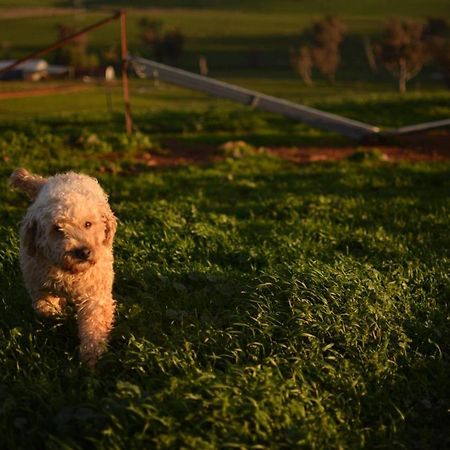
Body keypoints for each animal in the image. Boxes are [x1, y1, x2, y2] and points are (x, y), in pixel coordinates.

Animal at [10, 167, 117, 368]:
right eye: (57, 229)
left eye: (88, 224)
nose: (83, 252)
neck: (70, 272)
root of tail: (63, 175)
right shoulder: (38, 286)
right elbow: (46, 309)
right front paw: (57, 317)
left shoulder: (95, 295)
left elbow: (94, 324)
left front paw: (90, 356)